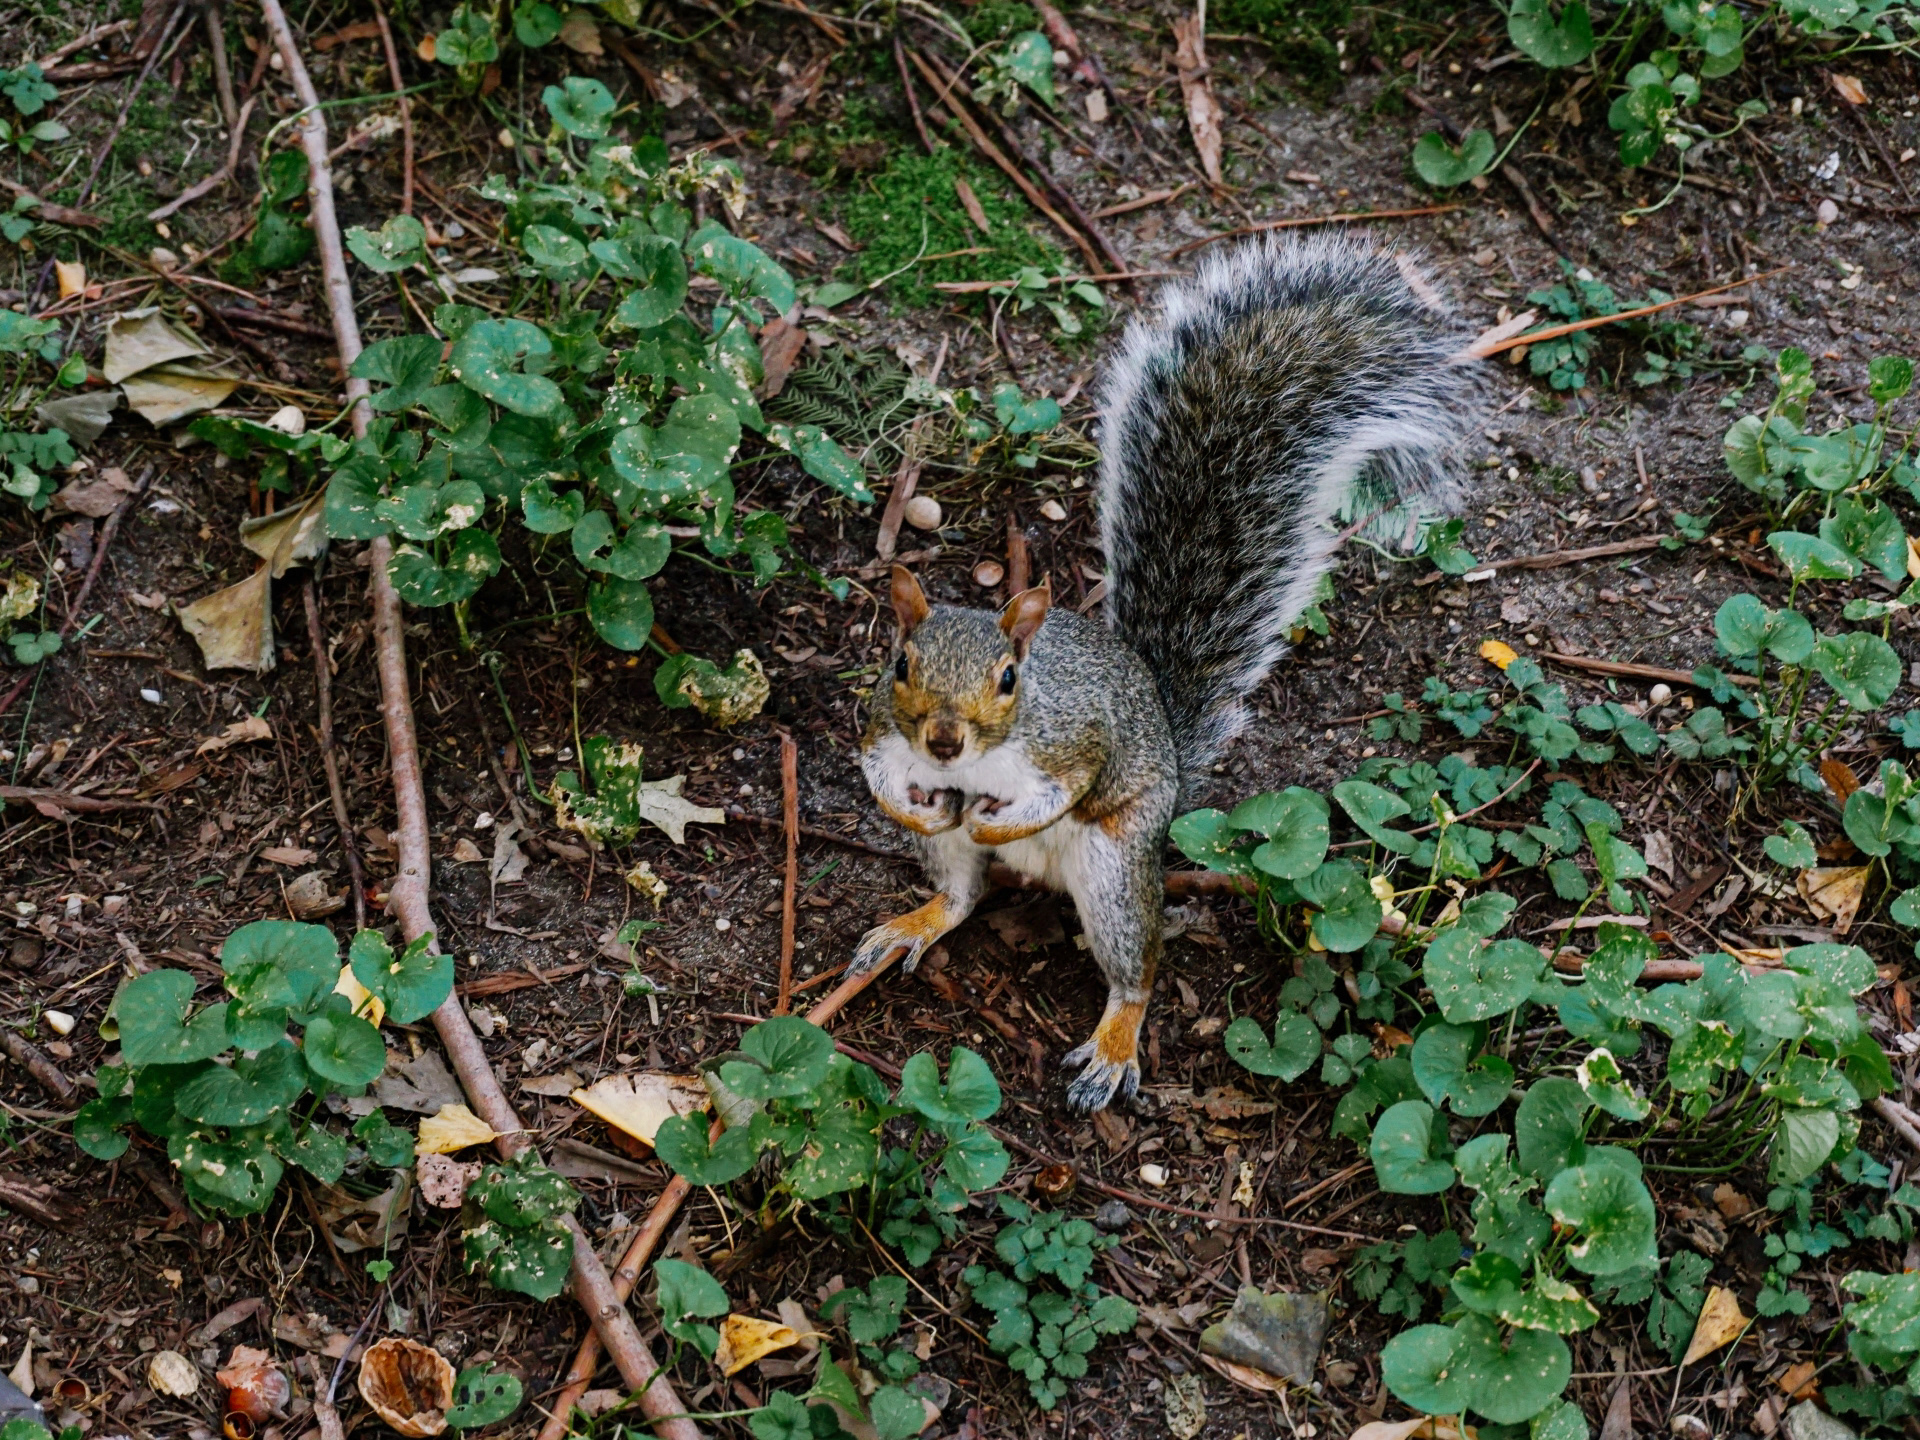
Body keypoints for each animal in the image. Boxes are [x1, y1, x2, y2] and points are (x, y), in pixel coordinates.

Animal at [853, 234, 1485, 1111]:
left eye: (1010, 680)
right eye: (901, 663)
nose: (944, 746)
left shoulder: (1074, 741)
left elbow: (1066, 788)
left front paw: (995, 820)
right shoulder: (884, 730)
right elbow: (875, 768)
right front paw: (910, 805)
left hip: (1117, 870)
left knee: (1136, 968)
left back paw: (1114, 1040)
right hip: (973, 866)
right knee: (960, 895)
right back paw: (917, 919)